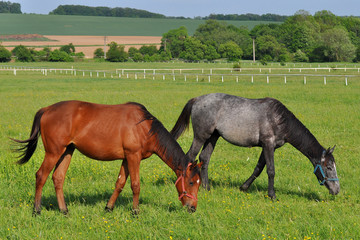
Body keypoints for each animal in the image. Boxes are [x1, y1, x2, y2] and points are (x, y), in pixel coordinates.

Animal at [12, 100, 202, 215]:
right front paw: (135, 211)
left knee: (58, 178)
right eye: (191, 182)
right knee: (41, 176)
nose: (193, 208)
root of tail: (47, 109)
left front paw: (109, 207)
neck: (145, 128)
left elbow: (120, 183)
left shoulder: (126, 159)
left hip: (67, 151)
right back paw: (36, 210)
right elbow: (135, 185)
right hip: (53, 152)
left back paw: (64, 210)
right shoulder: (133, 156)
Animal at [172, 93, 340, 200]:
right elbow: (271, 170)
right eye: (329, 167)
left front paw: (244, 187)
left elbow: (258, 168)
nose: (337, 190)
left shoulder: (269, 147)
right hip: (201, 137)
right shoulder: (268, 144)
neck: (278, 118)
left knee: (204, 158)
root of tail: (197, 99)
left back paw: (206, 187)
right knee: (190, 157)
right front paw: (272, 195)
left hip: (213, 137)